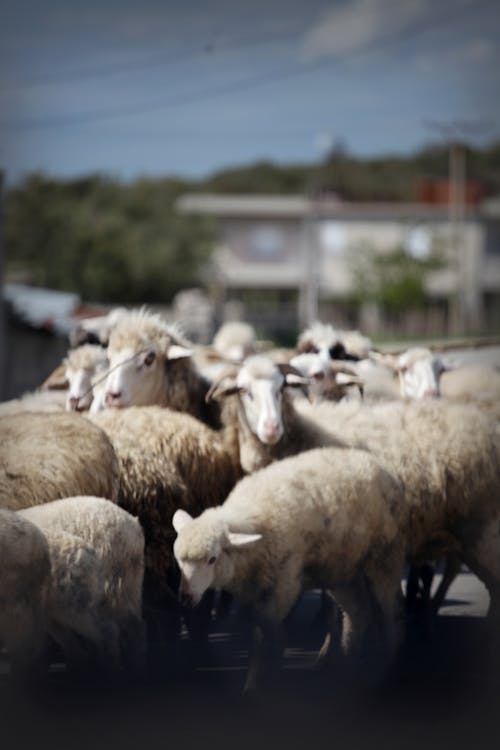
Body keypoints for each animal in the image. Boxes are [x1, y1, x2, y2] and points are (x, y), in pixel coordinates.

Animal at [172, 446, 406, 692]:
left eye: (212, 559)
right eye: (178, 560)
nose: (185, 598)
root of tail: (378, 464)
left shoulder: (281, 587)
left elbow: (266, 641)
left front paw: (256, 685)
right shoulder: (262, 591)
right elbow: (272, 638)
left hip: (385, 555)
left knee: (393, 613)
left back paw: (390, 672)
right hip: (341, 567)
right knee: (358, 612)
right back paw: (346, 666)